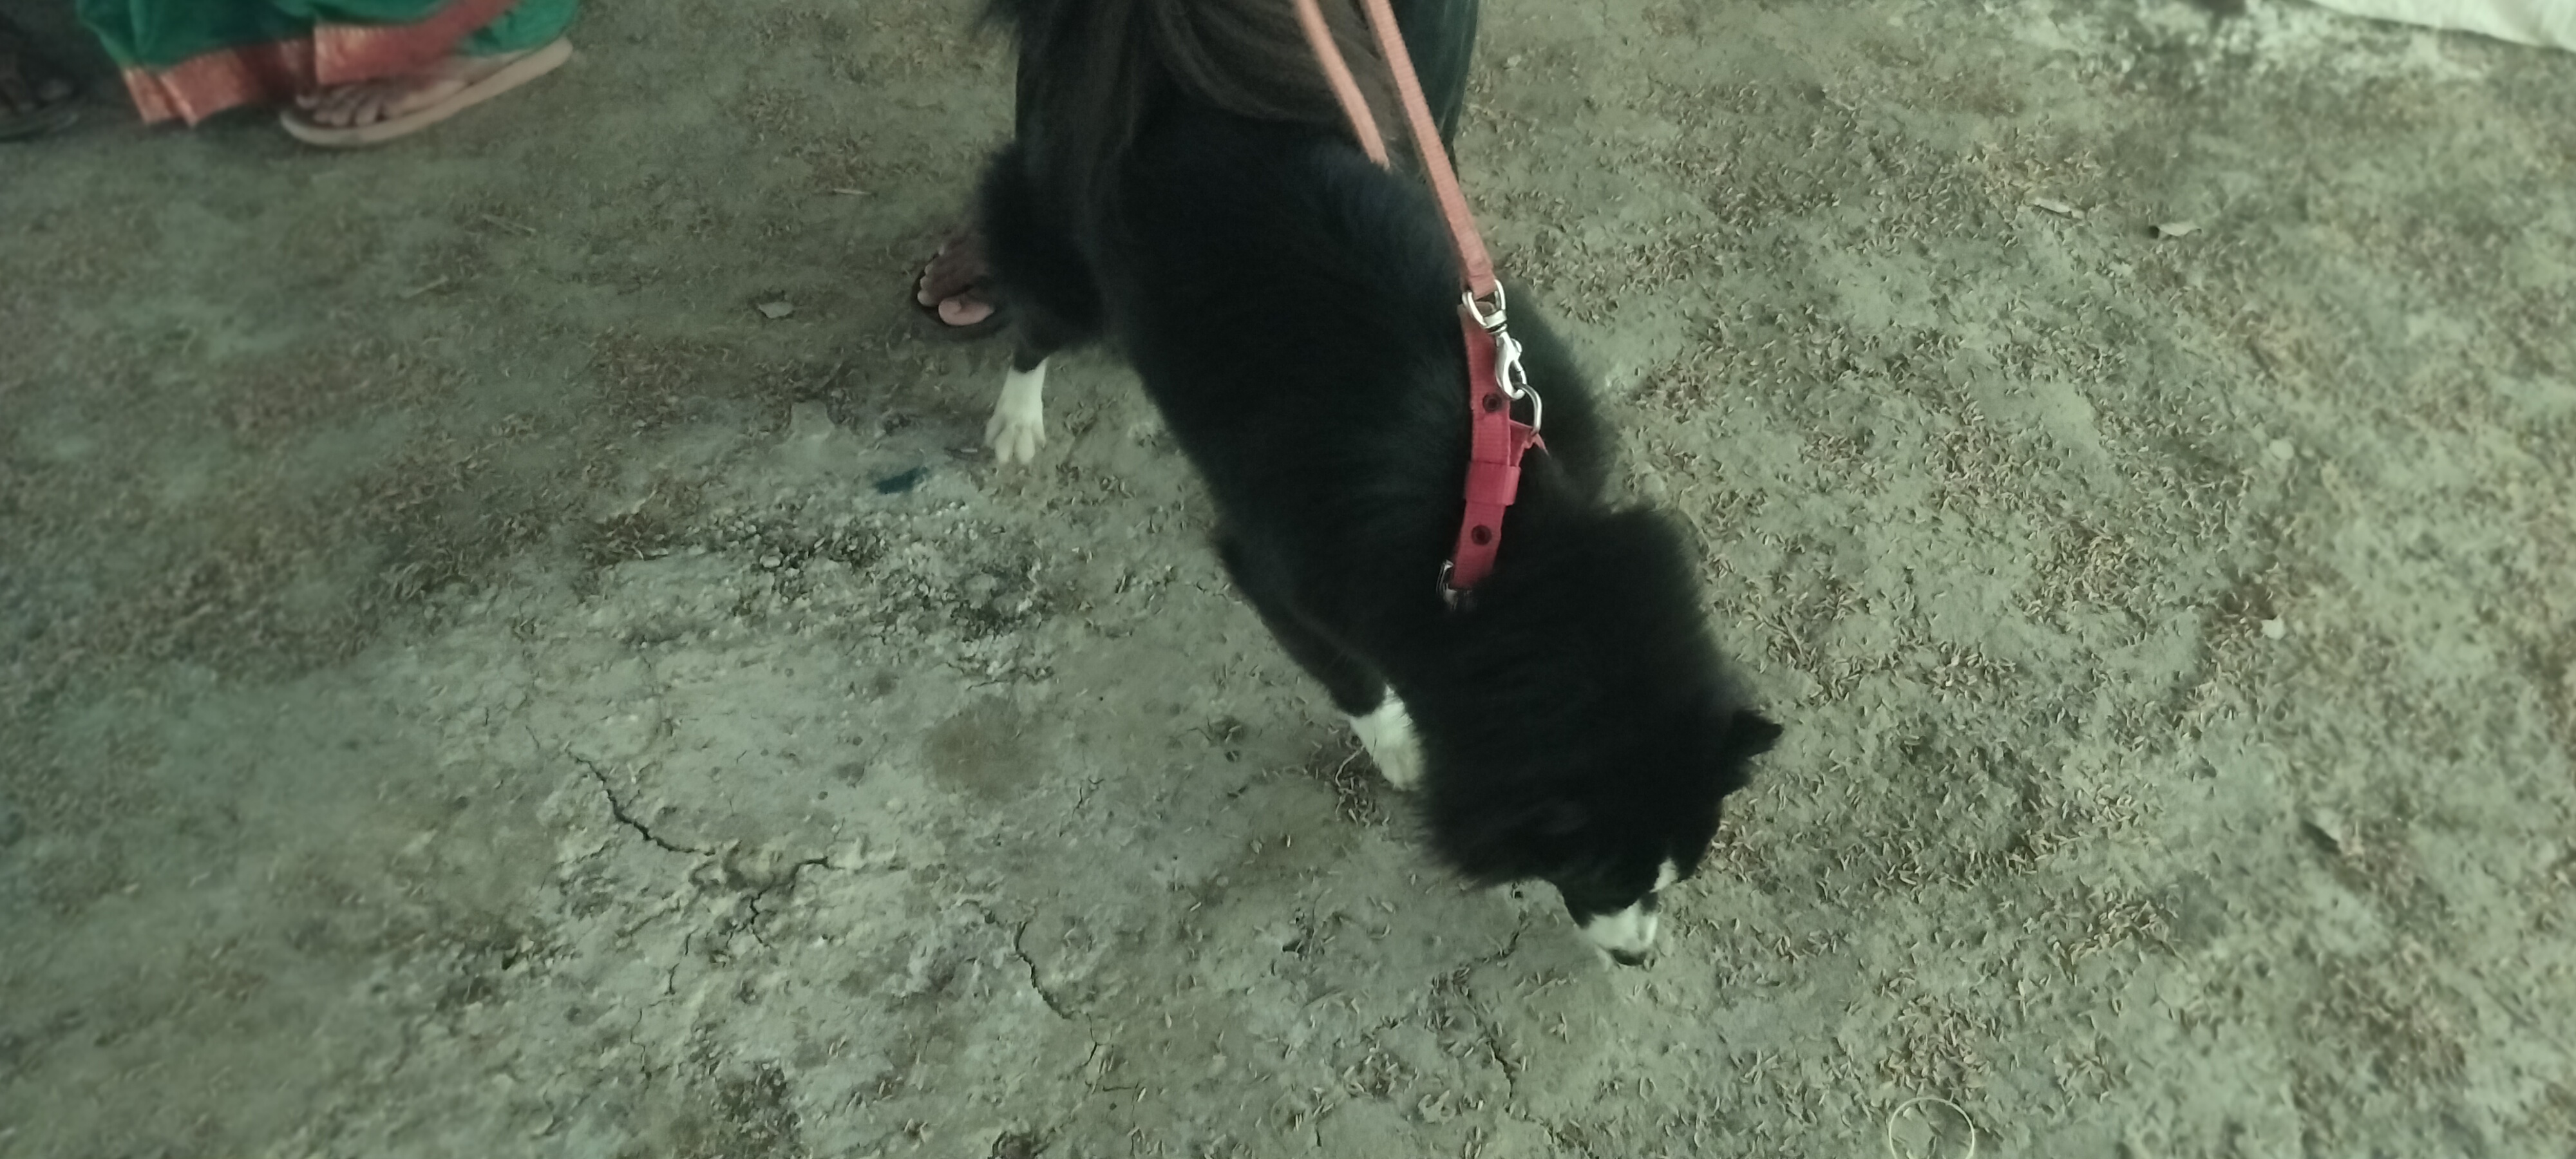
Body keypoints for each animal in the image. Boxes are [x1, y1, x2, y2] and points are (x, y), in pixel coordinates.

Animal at [971, 0, 1780, 965]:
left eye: (1675, 875)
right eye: (1594, 876)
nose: (1637, 955)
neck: (1495, 533)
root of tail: (1160, 65)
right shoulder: (1287, 566)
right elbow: (1345, 667)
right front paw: (1397, 742)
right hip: (1067, 242)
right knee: (1036, 310)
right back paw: (1017, 419)